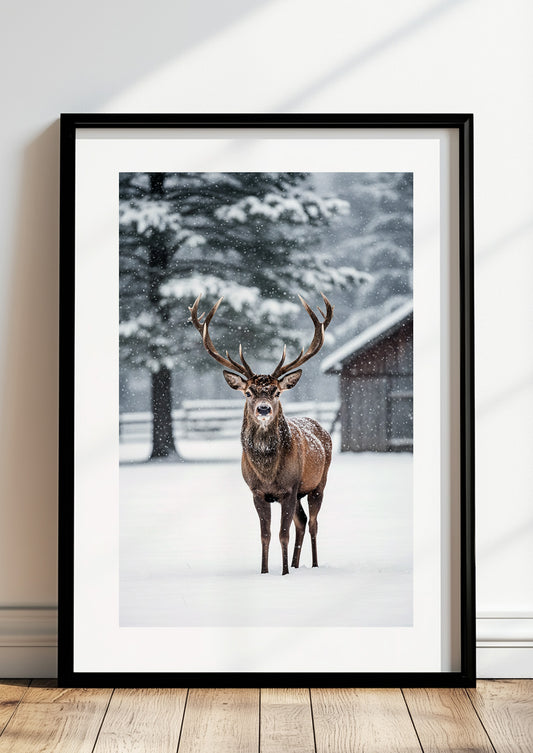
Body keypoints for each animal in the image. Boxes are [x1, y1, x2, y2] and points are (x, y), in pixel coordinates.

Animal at [189, 292, 333, 575]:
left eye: (276, 391)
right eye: (248, 392)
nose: (263, 408)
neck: (268, 472)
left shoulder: (289, 488)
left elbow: (282, 534)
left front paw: (284, 573)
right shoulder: (257, 492)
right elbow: (265, 535)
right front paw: (266, 572)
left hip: (318, 482)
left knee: (312, 523)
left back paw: (312, 565)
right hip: (300, 492)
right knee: (301, 522)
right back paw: (297, 564)